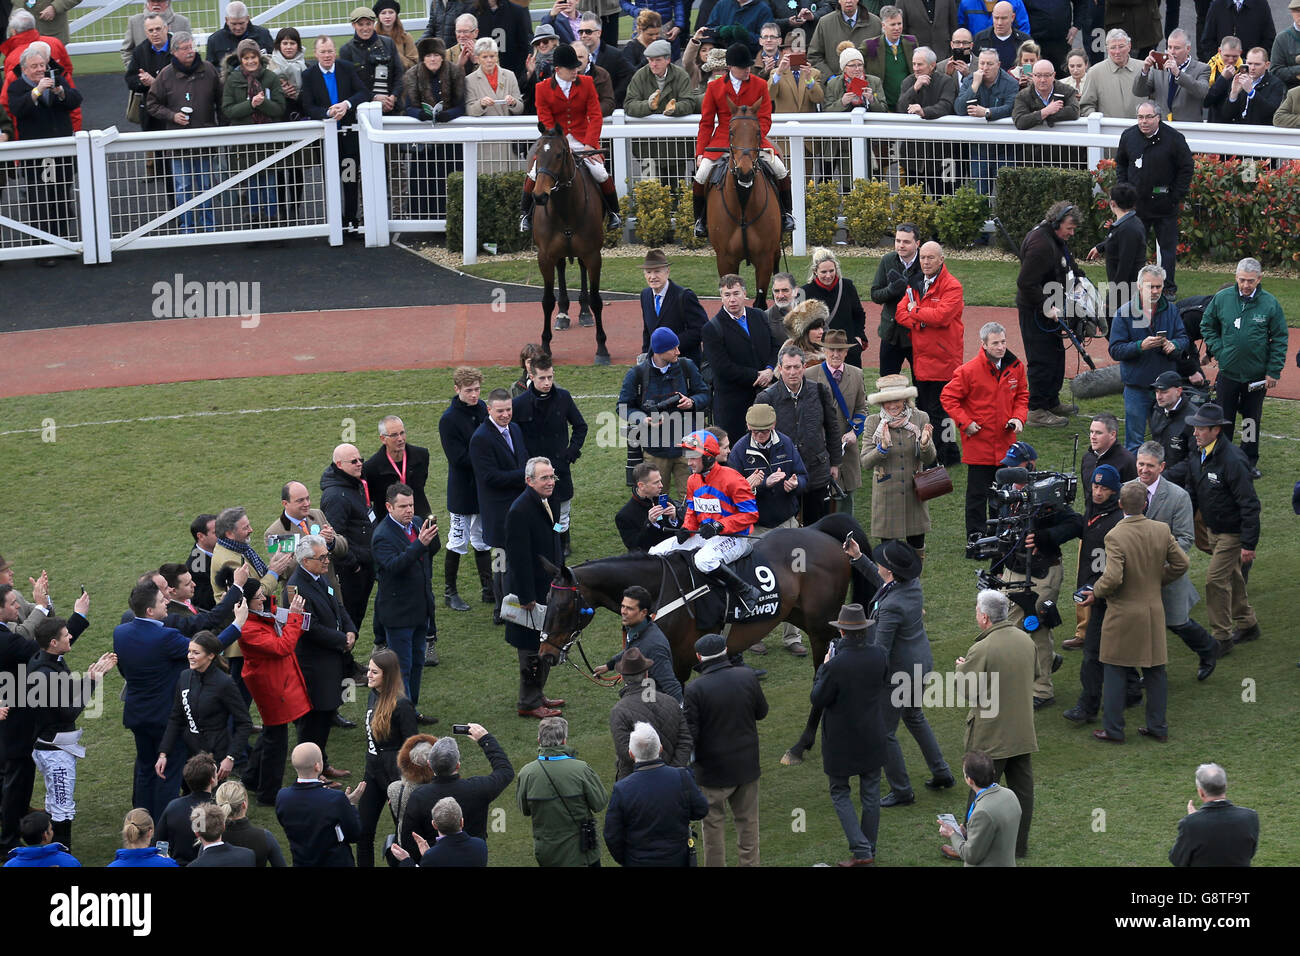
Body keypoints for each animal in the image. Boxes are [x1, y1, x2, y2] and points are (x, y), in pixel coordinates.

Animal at [527, 125, 608, 364]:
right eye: (537, 154)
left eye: (559, 154)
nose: (539, 196)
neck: (565, 208)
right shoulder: (545, 257)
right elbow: (547, 301)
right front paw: (545, 346)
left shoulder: (593, 255)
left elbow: (597, 300)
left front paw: (602, 348)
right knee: (562, 267)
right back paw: (563, 313)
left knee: (580, 268)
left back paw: (584, 312)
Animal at [538, 512, 873, 764]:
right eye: (547, 601)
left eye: (564, 606)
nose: (546, 654)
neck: (657, 591)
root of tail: (816, 529)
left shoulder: (678, 664)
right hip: (799, 616)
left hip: (821, 626)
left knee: (824, 673)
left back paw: (801, 745)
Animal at [712, 104, 780, 314]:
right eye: (731, 132)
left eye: (757, 132)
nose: (745, 172)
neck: (743, 203)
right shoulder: (725, 259)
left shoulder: (764, 258)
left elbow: (760, 303)